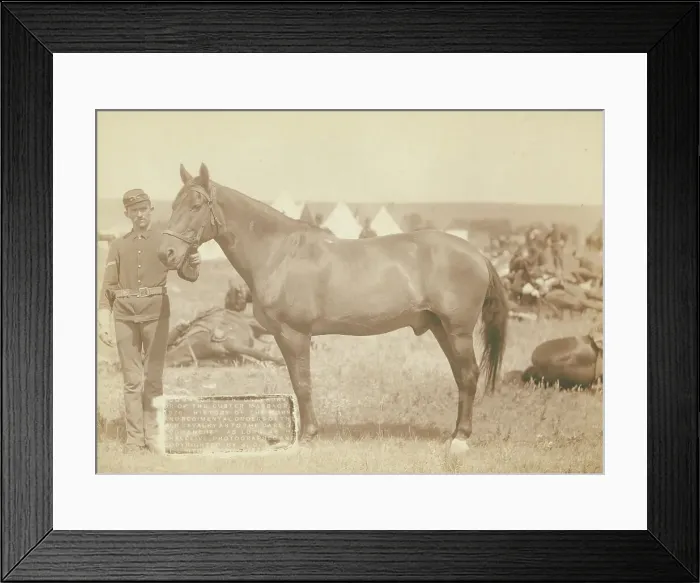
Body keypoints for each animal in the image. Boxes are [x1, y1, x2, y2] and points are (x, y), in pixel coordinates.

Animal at [157, 163, 510, 455]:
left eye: (196, 205)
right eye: (173, 205)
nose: (166, 253)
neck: (280, 253)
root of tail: (477, 254)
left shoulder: (295, 334)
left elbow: (303, 383)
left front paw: (308, 436)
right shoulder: (284, 336)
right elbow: (297, 380)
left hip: (458, 331)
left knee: (469, 375)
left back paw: (460, 439)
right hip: (440, 329)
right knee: (461, 377)